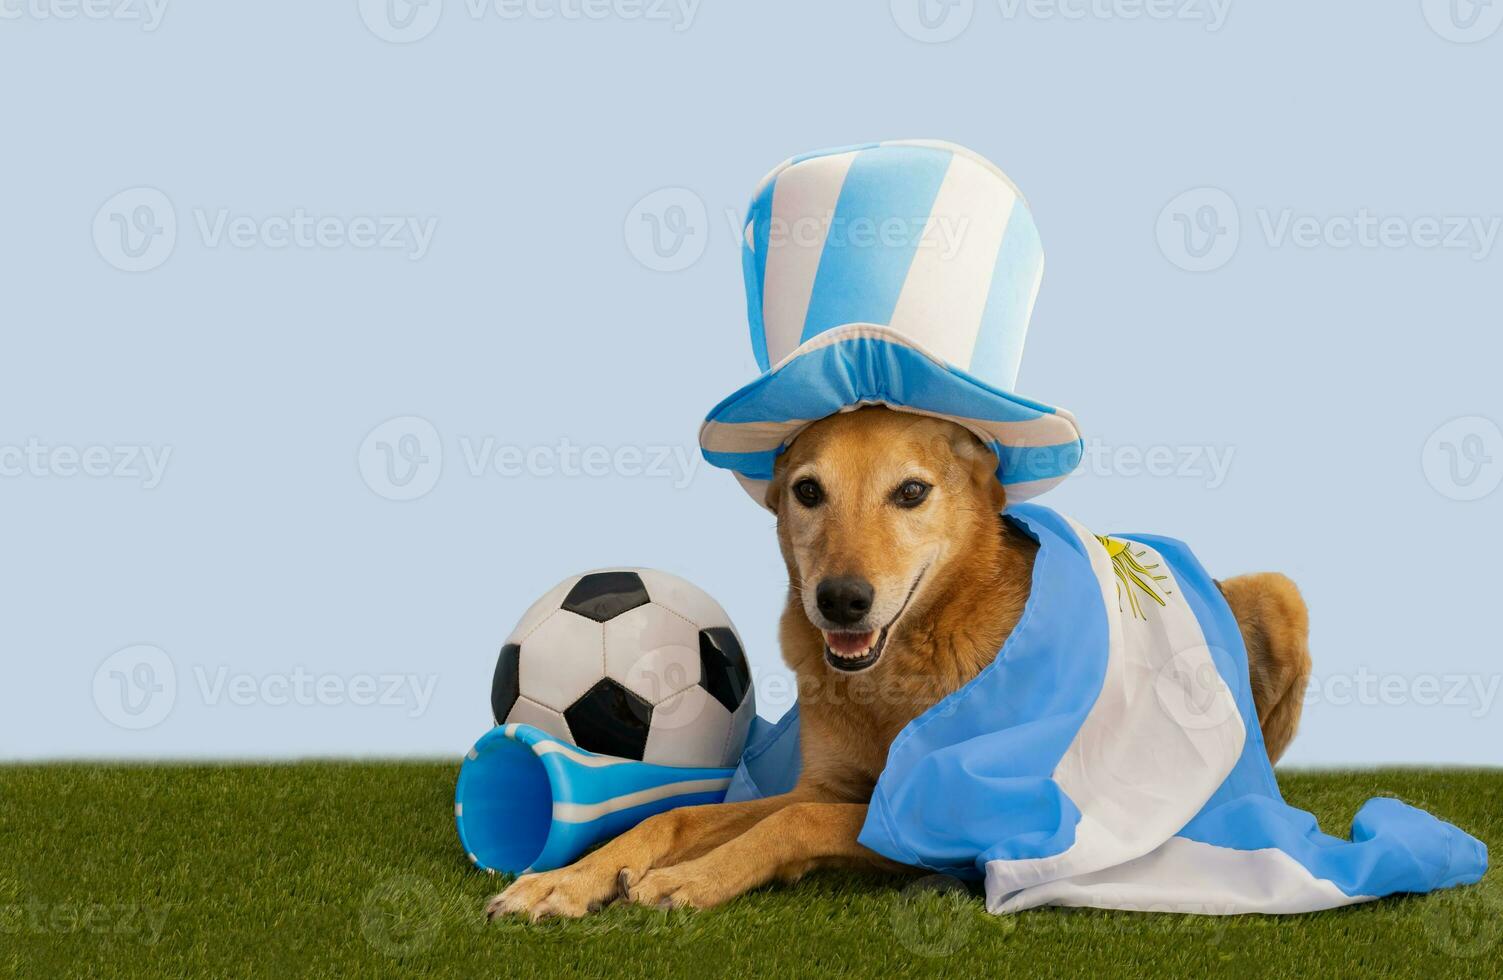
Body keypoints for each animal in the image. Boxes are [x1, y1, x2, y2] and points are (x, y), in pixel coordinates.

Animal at [486, 405, 1310, 919]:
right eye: (807, 491)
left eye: (911, 491)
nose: (842, 600)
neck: (897, 676)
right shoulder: (827, 783)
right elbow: (683, 812)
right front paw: (566, 881)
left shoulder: (946, 821)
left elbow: (798, 824)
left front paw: (690, 878)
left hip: (1280, 594)